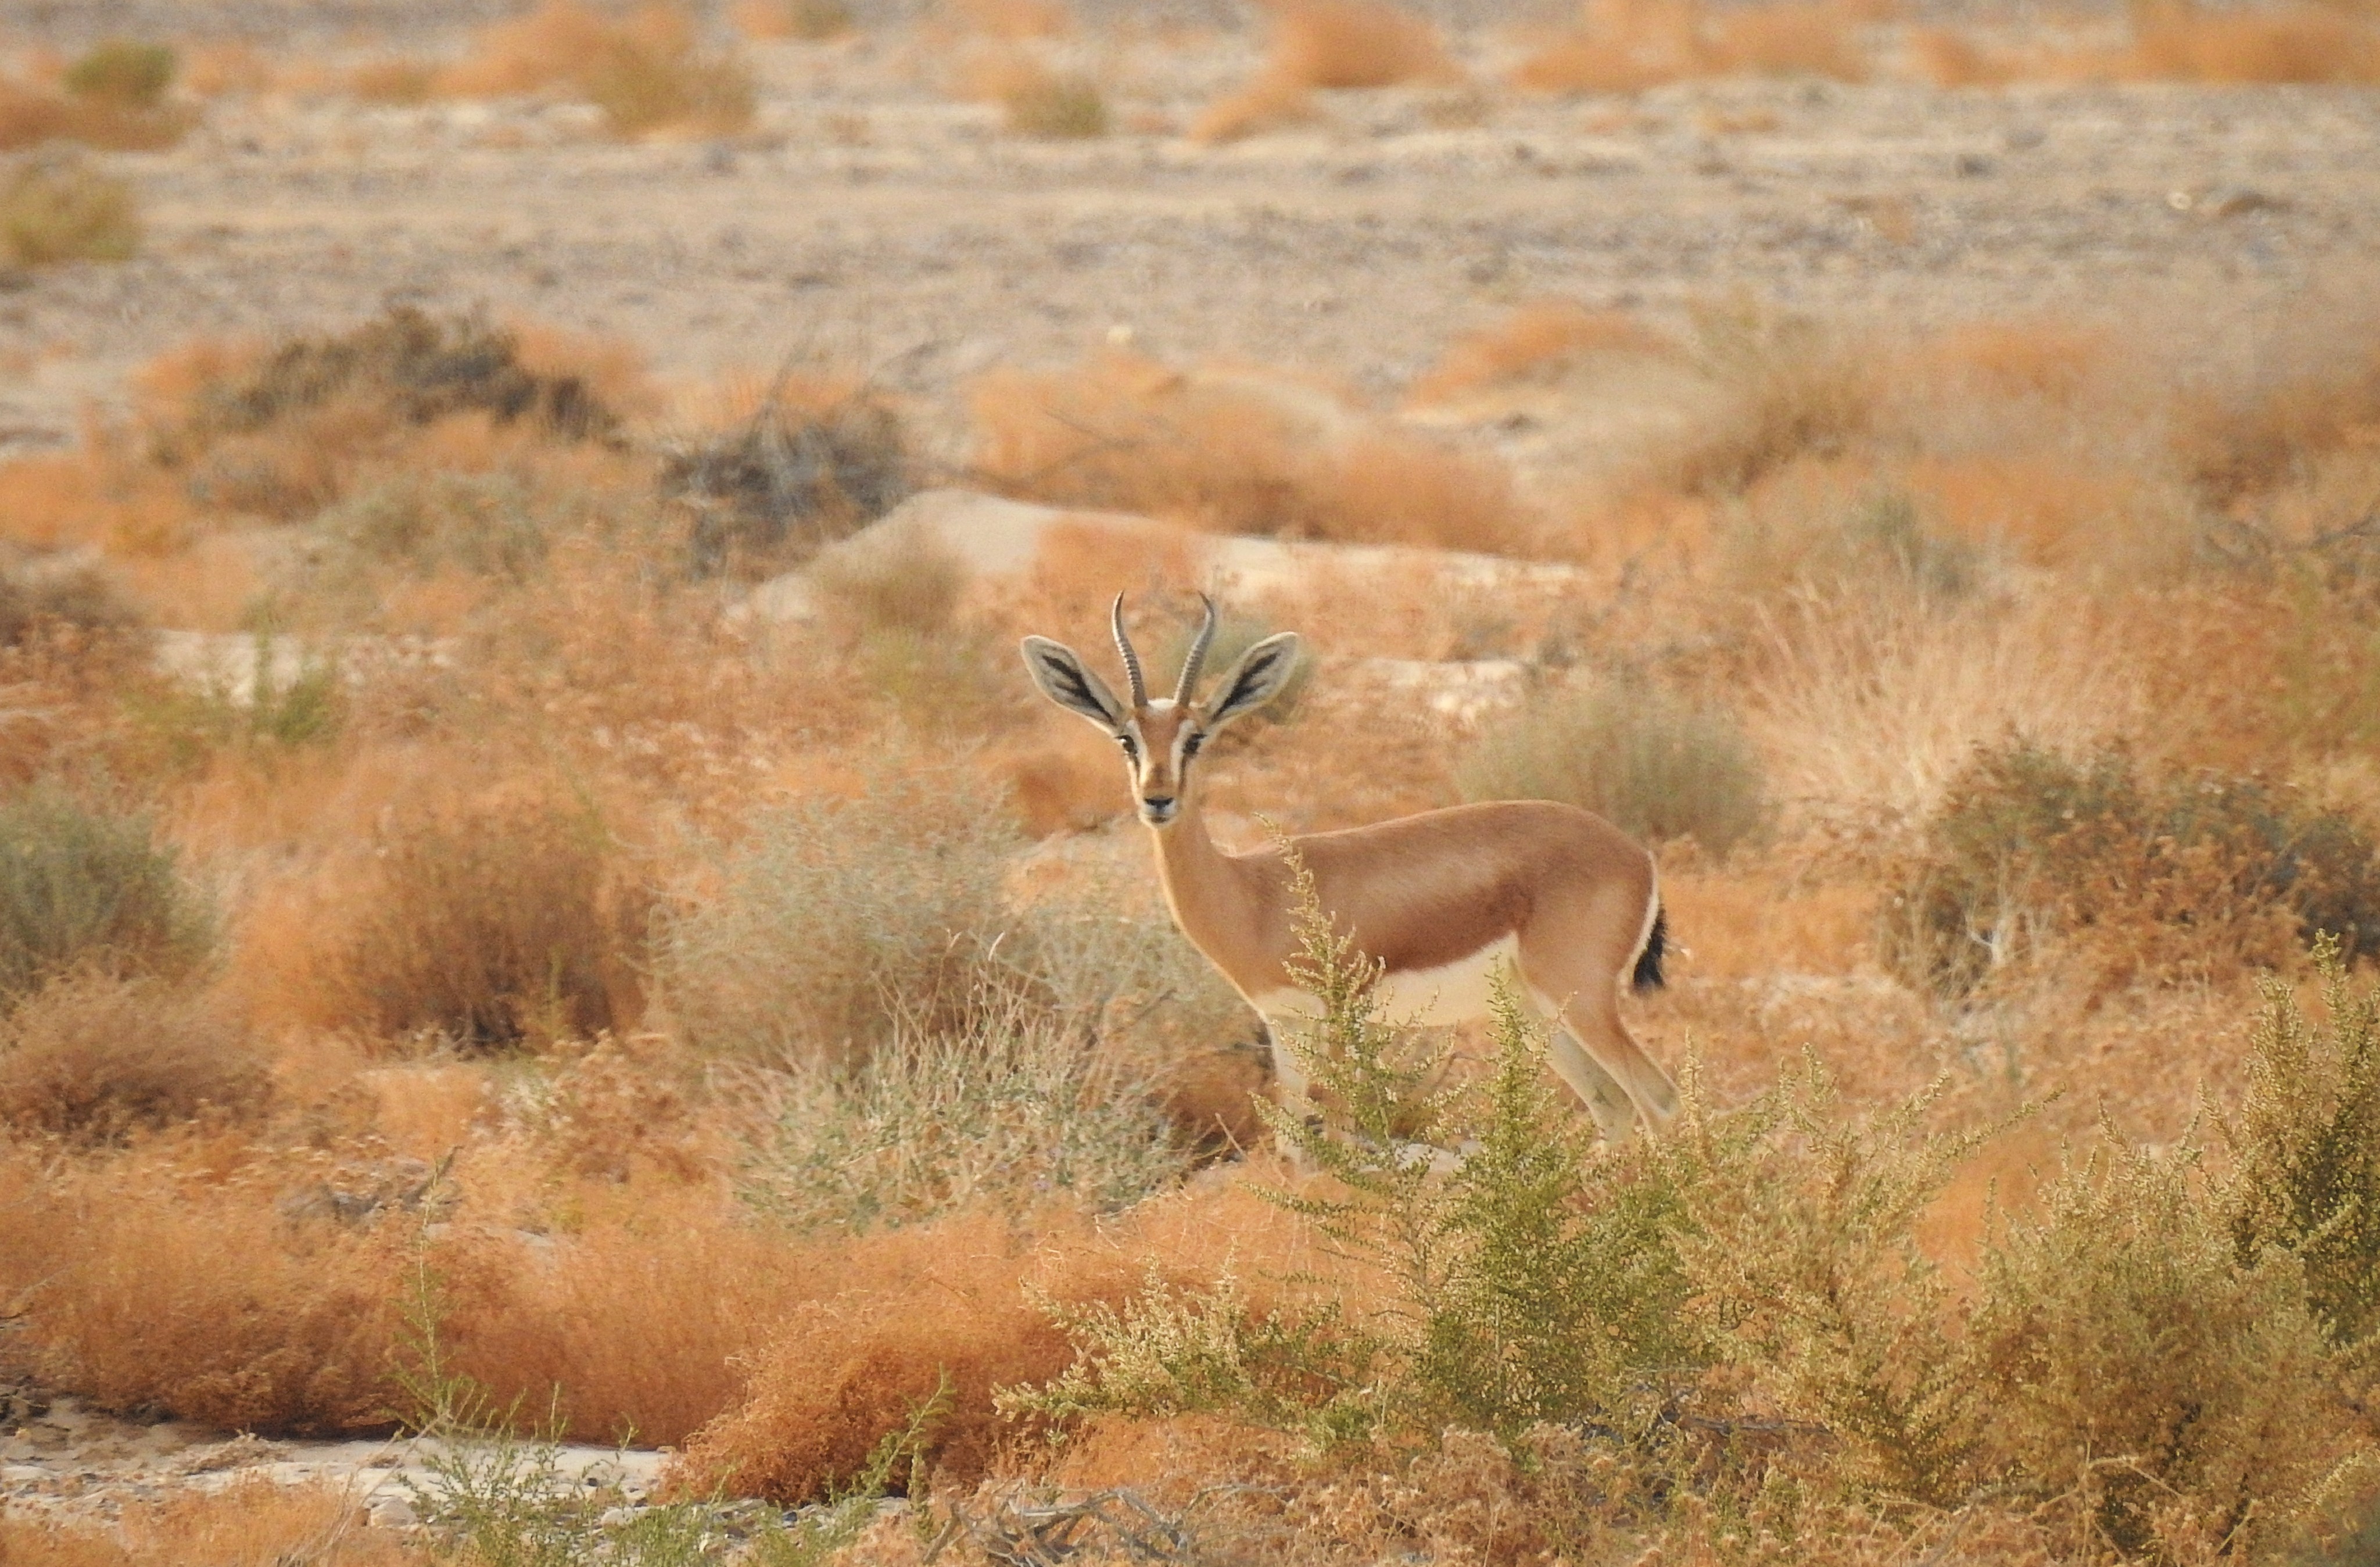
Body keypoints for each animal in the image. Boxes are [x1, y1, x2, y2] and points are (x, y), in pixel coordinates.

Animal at [1020, 594, 1680, 1141]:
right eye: (1126, 739)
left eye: (1197, 738)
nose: (1158, 799)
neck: (1253, 895)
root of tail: (1634, 854)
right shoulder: (1284, 1024)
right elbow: (1291, 1140)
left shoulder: (1337, 1021)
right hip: (1539, 1010)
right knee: (1613, 1106)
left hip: (1581, 998)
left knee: (1659, 1099)